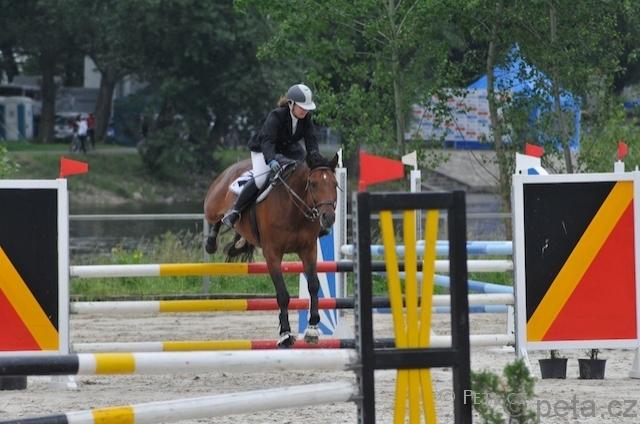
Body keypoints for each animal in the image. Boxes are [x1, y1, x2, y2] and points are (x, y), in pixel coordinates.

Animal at [203, 153, 339, 347]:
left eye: (335, 184)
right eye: (313, 184)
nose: (328, 218)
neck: (293, 208)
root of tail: (232, 167)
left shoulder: (309, 250)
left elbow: (314, 285)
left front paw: (312, 329)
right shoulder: (272, 254)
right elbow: (282, 294)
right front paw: (285, 334)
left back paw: (239, 242)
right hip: (212, 206)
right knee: (216, 219)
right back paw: (213, 241)